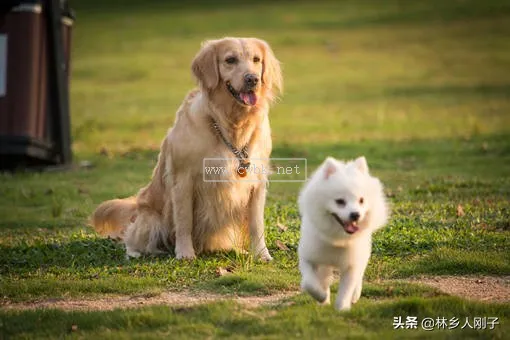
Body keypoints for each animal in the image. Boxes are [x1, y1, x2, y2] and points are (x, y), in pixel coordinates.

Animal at [296, 157, 388, 310]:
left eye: (361, 200)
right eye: (340, 201)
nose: (355, 214)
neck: (337, 239)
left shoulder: (351, 264)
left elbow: (346, 290)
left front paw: (342, 309)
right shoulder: (308, 257)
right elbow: (310, 283)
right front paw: (321, 296)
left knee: (359, 276)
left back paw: (355, 295)